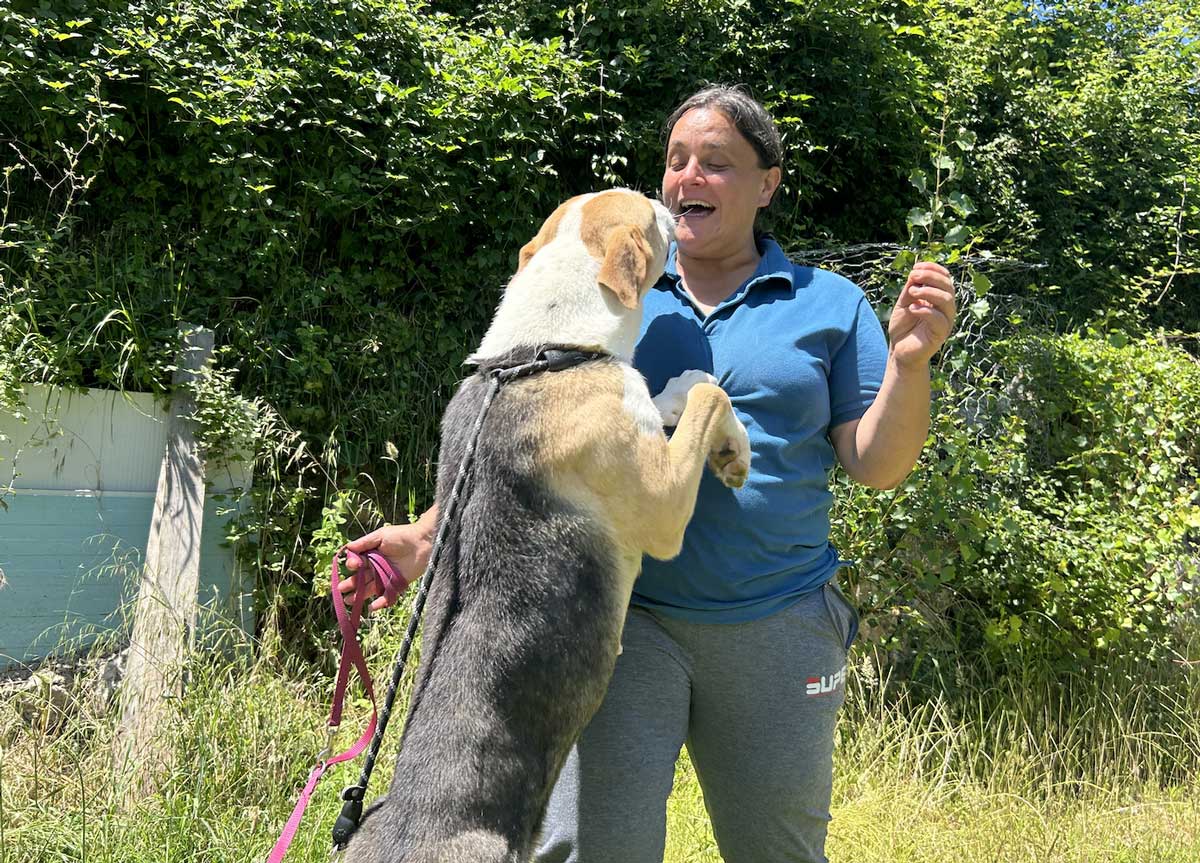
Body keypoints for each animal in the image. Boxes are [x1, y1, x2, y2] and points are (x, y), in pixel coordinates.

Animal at [348, 189, 753, 863]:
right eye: (647, 210)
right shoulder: (664, 504)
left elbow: (669, 396)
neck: (539, 353)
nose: (667, 200)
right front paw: (731, 445)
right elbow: (705, 398)